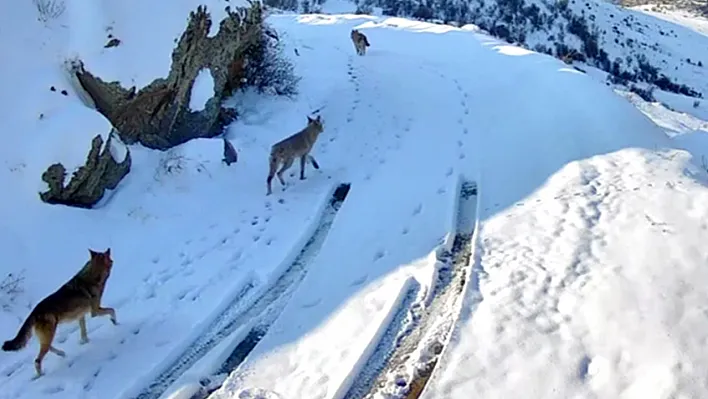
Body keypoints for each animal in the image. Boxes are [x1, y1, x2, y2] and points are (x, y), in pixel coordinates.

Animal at [1, 248, 117, 380]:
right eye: (108, 255)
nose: (109, 249)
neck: (93, 275)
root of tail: (34, 312)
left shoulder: (81, 315)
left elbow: (84, 332)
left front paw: (85, 342)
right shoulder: (95, 311)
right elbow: (112, 310)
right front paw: (115, 322)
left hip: (47, 336)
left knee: (48, 348)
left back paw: (61, 353)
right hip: (50, 334)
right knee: (37, 360)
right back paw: (41, 375)